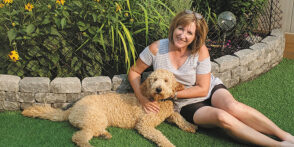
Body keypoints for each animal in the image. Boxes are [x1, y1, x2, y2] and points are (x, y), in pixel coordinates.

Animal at [21, 69, 198, 147]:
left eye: (166, 80)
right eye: (154, 79)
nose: (158, 89)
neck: (157, 100)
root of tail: (72, 108)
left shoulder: (169, 114)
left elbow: (179, 117)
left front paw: (190, 125)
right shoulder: (144, 124)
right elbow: (159, 135)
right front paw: (169, 144)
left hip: (97, 120)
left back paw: (104, 134)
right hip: (95, 117)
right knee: (79, 136)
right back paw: (88, 144)